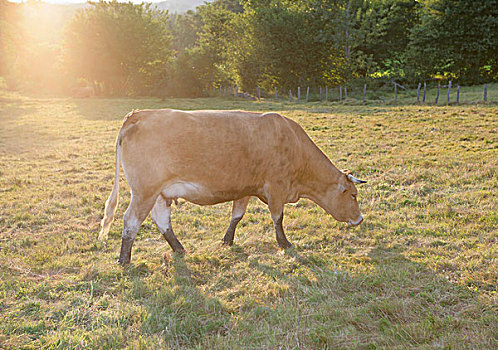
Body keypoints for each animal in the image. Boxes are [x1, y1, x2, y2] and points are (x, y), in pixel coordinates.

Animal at [98, 108, 366, 264]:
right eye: (353, 195)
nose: (360, 219)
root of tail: (138, 114)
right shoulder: (276, 188)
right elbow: (277, 218)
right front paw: (284, 244)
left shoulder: (245, 189)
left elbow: (237, 215)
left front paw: (227, 241)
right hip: (144, 192)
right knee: (131, 220)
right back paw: (124, 259)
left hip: (160, 193)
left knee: (162, 220)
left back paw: (179, 249)